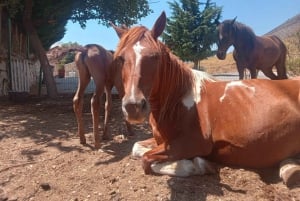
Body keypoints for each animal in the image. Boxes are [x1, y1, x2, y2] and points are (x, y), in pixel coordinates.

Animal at [110, 11, 300, 187]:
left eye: (155, 56)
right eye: (120, 58)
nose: (133, 106)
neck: (178, 101)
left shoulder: (192, 144)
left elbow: (147, 160)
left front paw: (197, 165)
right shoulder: (161, 141)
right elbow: (137, 148)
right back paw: (289, 168)